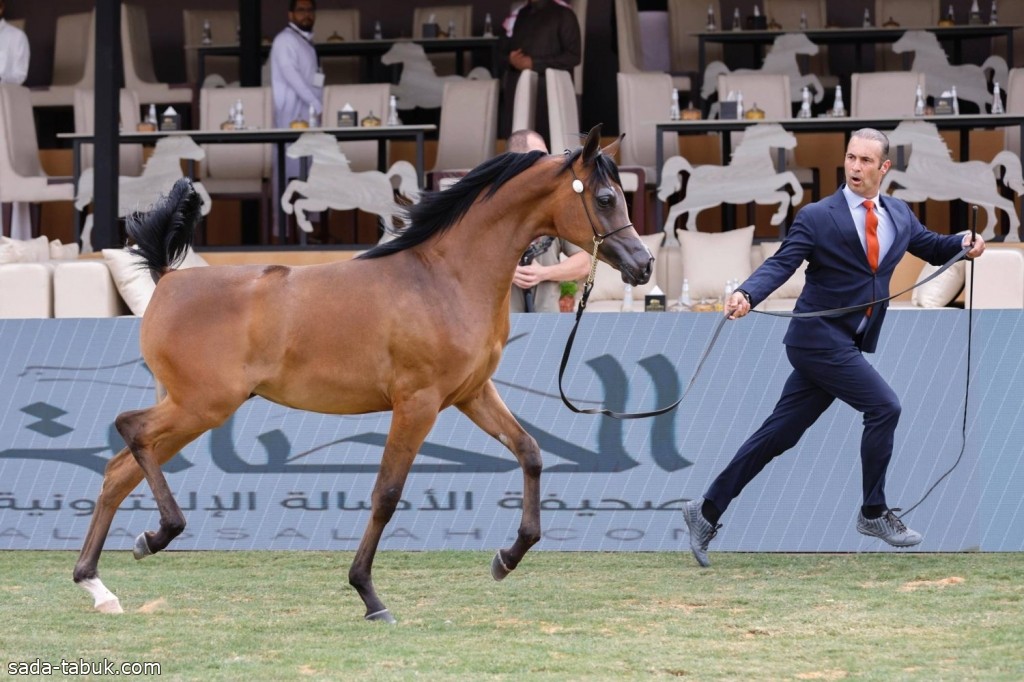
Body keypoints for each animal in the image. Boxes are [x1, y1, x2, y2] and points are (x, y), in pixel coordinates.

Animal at [72, 122, 651, 622]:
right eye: (605, 198)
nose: (642, 264)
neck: (444, 277)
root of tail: (168, 279)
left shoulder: (471, 394)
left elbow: (530, 453)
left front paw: (507, 558)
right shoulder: (417, 404)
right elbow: (386, 495)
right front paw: (370, 595)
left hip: (192, 408)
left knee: (118, 470)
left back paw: (98, 585)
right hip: (202, 405)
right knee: (130, 431)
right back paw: (156, 537)